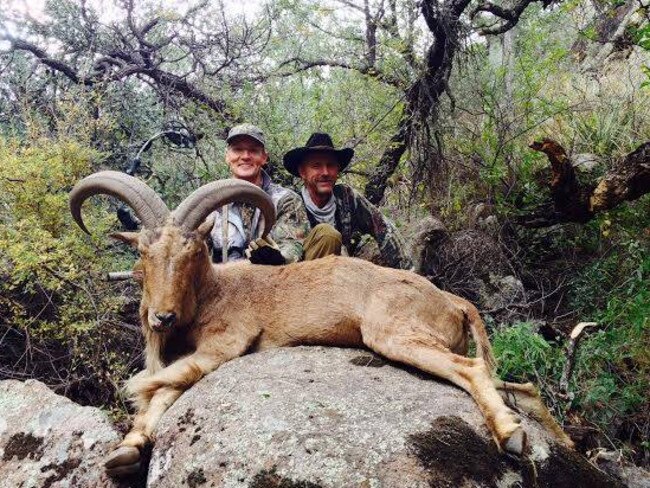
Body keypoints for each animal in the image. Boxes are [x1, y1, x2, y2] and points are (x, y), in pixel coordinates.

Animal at [68, 172, 568, 476]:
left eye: (193, 252)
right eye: (143, 252)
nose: (162, 316)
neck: (211, 294)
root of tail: (453, 299)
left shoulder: (226, 344)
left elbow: (160, 383)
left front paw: (130, 419)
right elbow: (165, 389)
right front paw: (127, 450)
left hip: (395, 334)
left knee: (473, 370)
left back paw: (511, 435)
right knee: (522, 387)